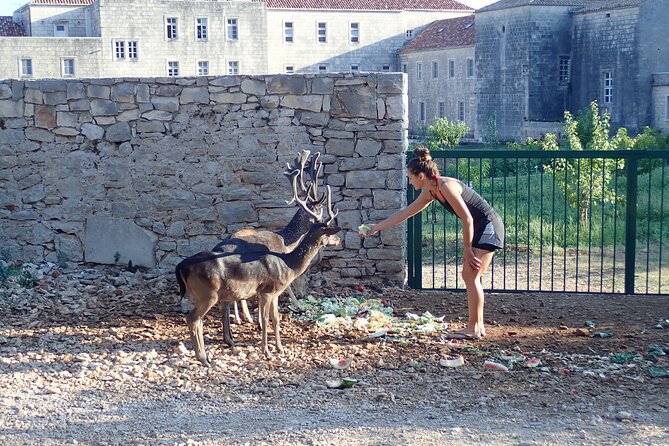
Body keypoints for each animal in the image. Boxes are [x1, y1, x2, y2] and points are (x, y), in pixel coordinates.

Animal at [175, 172, 340, 366]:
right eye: (329, 230)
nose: (338, 239)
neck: (288, 265)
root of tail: (181, 267)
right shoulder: (267, 291)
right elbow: (265, 319)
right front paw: (266, 352)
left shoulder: (275, 293)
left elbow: (276, 319)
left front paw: (280, 348)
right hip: (208, 293)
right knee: (193, 319)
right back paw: (203, 358)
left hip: (202, 295)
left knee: (199, 321)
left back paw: (208, 354)